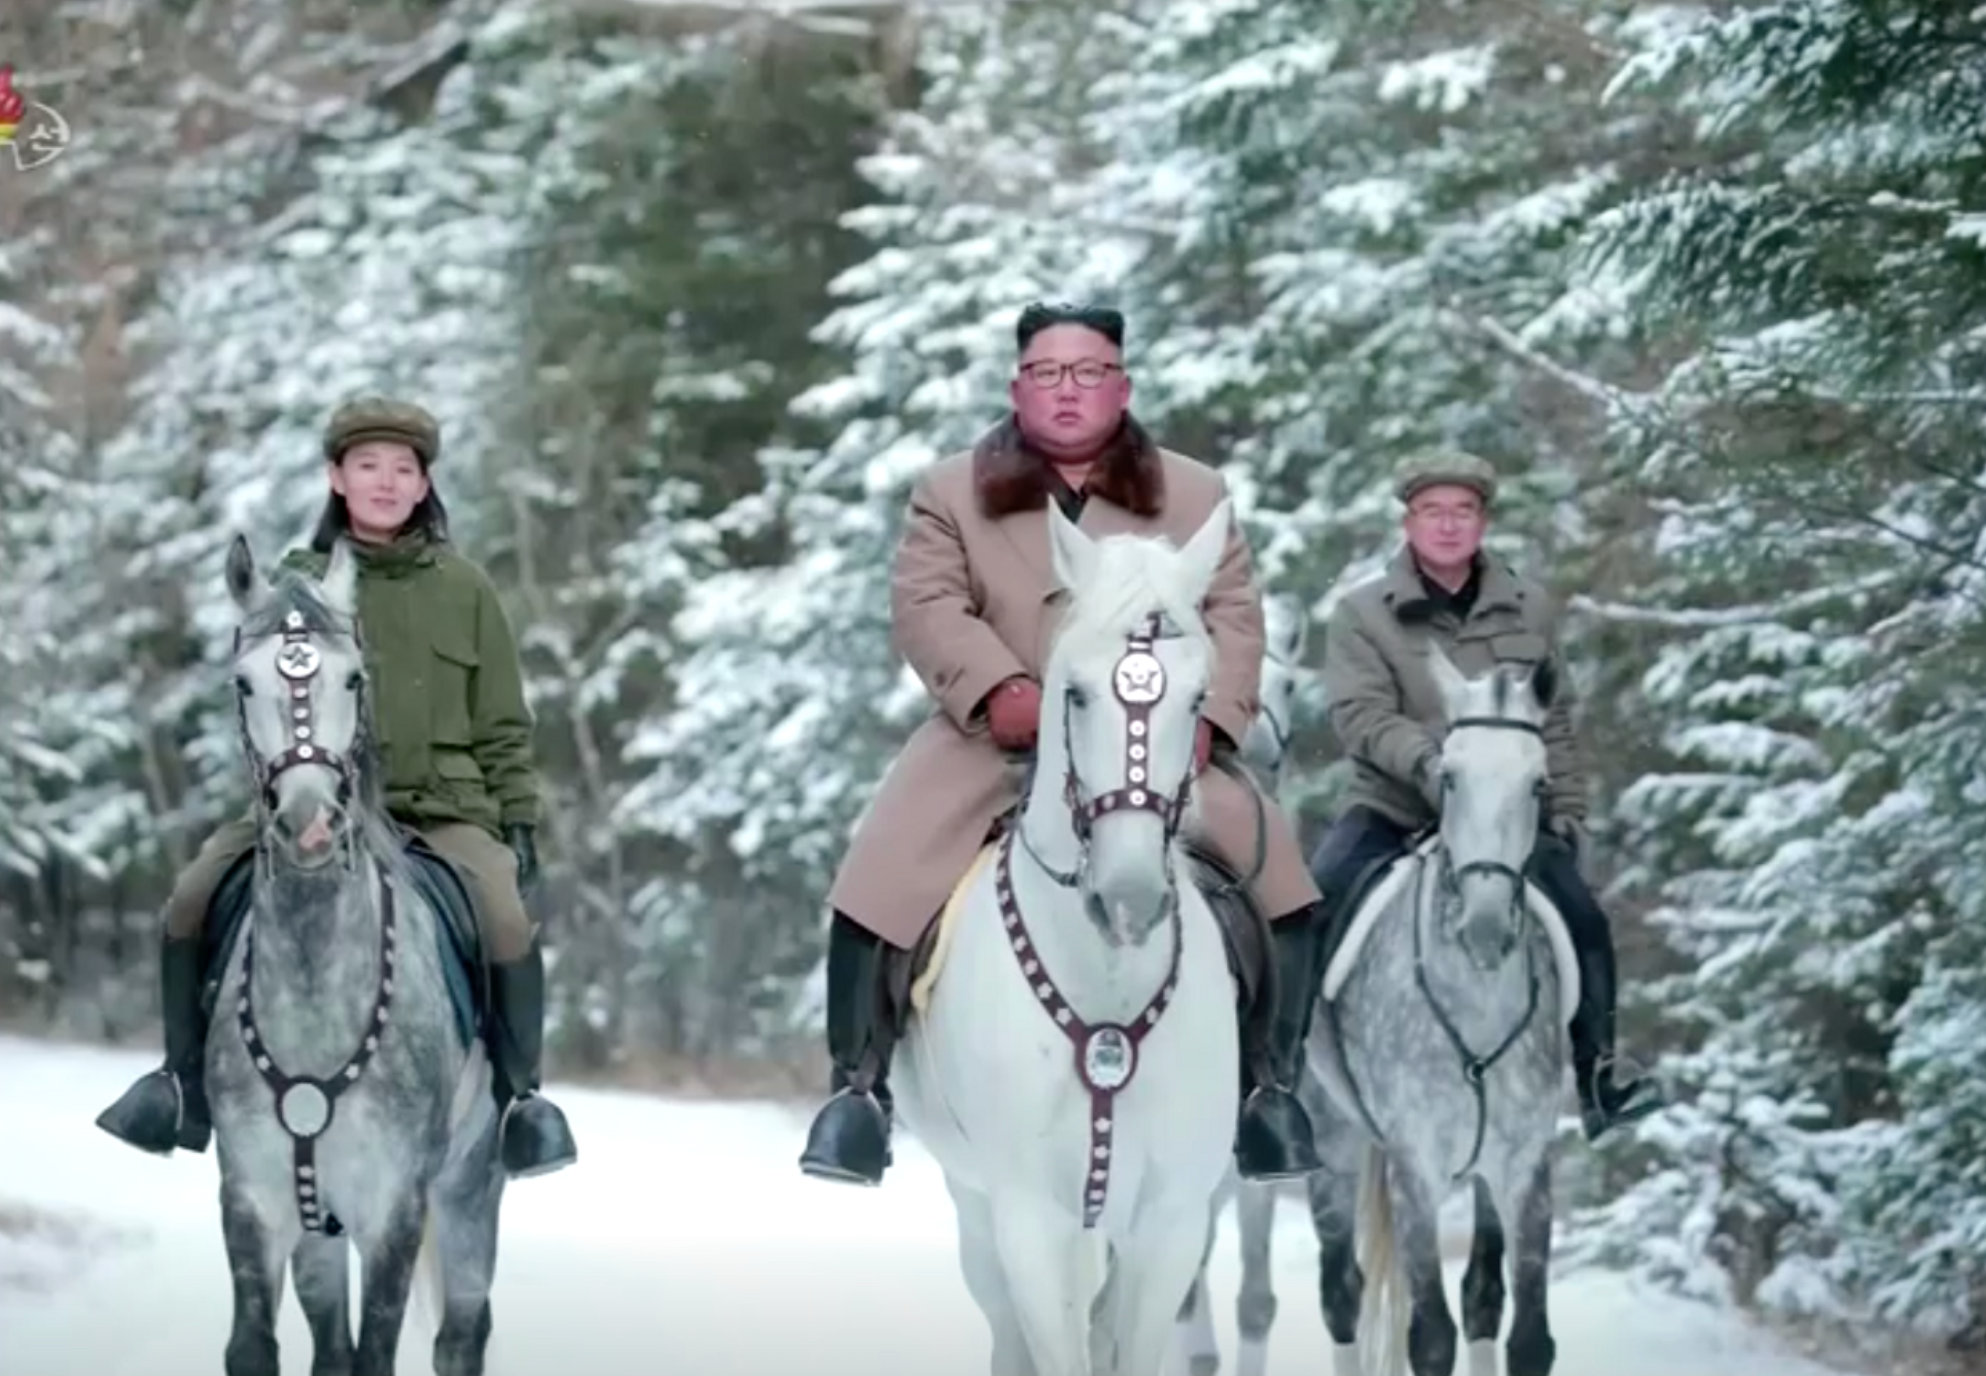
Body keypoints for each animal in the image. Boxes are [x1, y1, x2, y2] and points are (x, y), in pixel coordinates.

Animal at [203, 536, 504, 1374]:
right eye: (242, 682)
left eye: (353, 677)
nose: (309, 823)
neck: (316, 992)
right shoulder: (252, 1203)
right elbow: (256, 1347)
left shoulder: (394, 1211)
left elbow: (377, 1354)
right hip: (317, 1229)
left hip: (470, 1190)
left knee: (462, 1334)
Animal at [897, 498, 1239, 1366]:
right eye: (1076, 695)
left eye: (1198, 700)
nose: (1128, 894)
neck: (1105, 985)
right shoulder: (1028, 1216)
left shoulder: (1171, 1222)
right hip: (978, 1205)